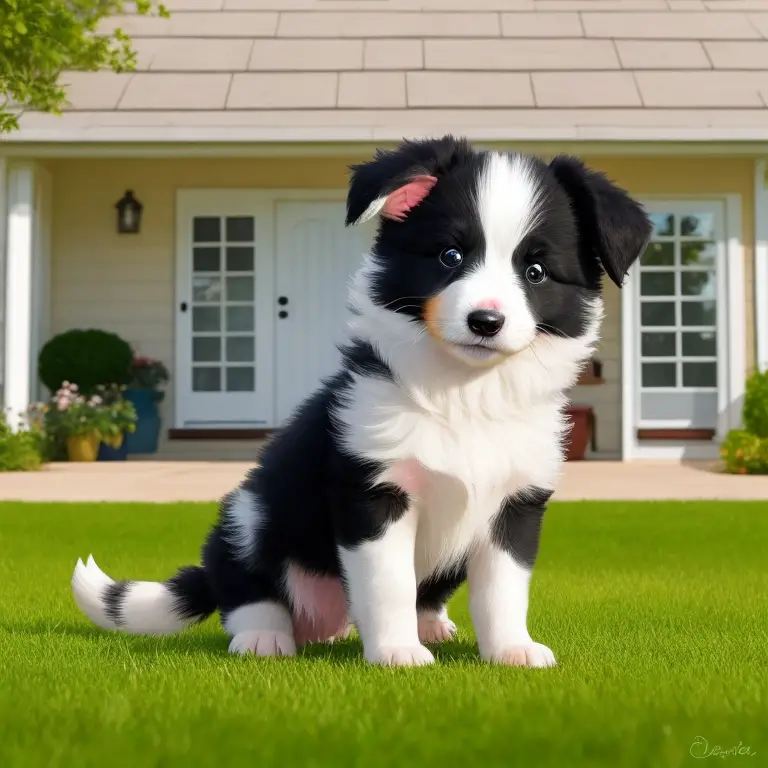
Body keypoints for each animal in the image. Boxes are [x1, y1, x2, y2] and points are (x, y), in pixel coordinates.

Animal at [70, 136, 648, 664]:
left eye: (536, 272)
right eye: (450, 255)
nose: (485, 321)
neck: (464, 396)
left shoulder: (516, 504)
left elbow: (503, 590)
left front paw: (512, 650)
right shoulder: (372, 493)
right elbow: (387, 583)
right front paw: (397, 652)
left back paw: (430, 625)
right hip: (251, 513)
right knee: (242, 583)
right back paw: (264, 637)